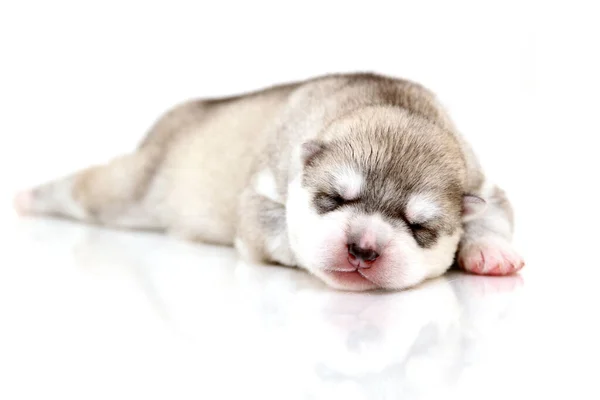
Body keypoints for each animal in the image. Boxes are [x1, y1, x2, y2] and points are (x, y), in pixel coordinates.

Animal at [11, 72, 524, 290]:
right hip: (128, 187)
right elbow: (272, 226)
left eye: (419, 227)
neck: (392, 103)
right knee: (83, 187)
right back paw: (27, 196)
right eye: (333, 199)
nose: (362, 249)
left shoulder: (482, 179)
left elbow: (495, 211)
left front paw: (490, 251)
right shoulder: (259, 192)